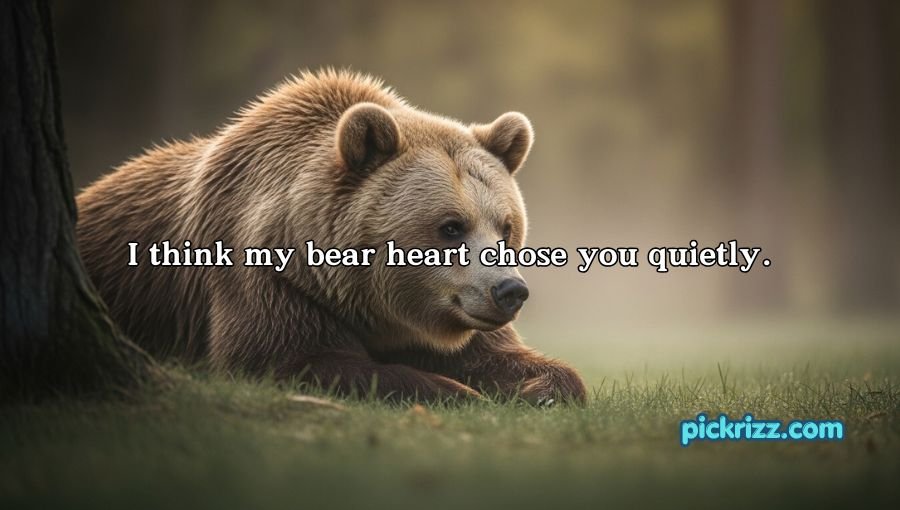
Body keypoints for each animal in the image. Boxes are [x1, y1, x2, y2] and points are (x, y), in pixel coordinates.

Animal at [76, 69, 586, 404]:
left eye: (505, 227)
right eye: (451, 226)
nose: (510, 289)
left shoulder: (447, 315)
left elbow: (508, 358)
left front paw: (540, 388)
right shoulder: (270, 282)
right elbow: (291, 360)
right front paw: (456, 392)